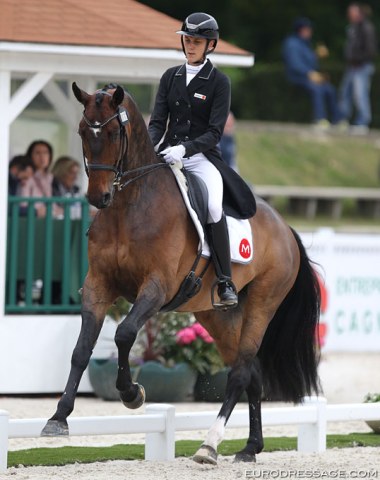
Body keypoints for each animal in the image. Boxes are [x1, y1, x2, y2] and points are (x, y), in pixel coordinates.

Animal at [41, 82, 320, 464]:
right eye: (84, 131)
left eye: (112, 133)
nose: (99, 198)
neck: (129, 206)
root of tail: (285, 227)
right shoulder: (98, 285)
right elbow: (81, 349)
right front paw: (58, 417)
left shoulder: (156, 287)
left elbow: (124, 334)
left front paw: (132, 393)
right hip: (216, 315)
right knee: (252, 373)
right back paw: (250, 447)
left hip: (263, 304)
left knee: (239, 372)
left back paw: (209, 445)